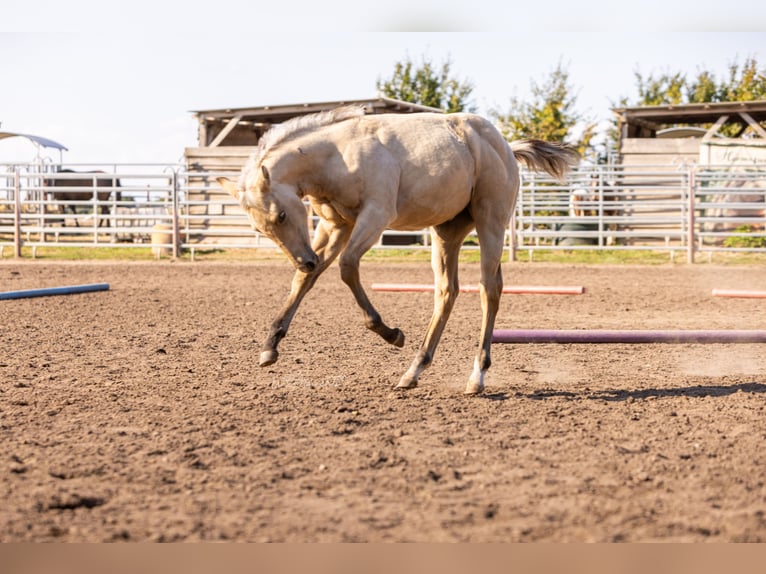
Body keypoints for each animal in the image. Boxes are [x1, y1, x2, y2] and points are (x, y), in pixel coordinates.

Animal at [218, 106, 578, 395]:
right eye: (259, 229)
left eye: (280, 215)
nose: (304, 260)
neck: (338, 155)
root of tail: (504, 145)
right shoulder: (334, 226)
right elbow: (305, 281)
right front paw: (270, 346)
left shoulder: (375, 215)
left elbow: (347, 267)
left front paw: (390, 333)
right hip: (447, 232)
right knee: (447, 292)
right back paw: (414, 370)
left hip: (491, 223)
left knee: (489, 290)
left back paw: (476, 376)